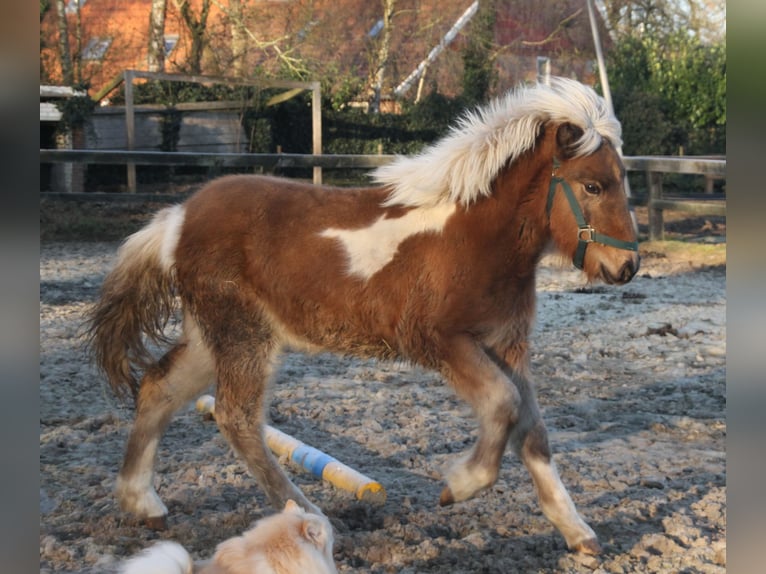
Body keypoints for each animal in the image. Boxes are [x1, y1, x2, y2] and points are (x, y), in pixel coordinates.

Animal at [86, 77, 639, 556]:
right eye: (592, 186)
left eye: (620, 182)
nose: (626, 267)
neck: (473, 238)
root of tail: (177, 218)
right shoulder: (437, 340)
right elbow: (503, 405)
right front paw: (458, 486)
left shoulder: (507, 344)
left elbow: (533, 430)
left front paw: (578, 532)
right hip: (244, 334)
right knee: (235, 416)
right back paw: (308, 513)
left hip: (213, 336)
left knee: (159, 388)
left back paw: (143, 504)